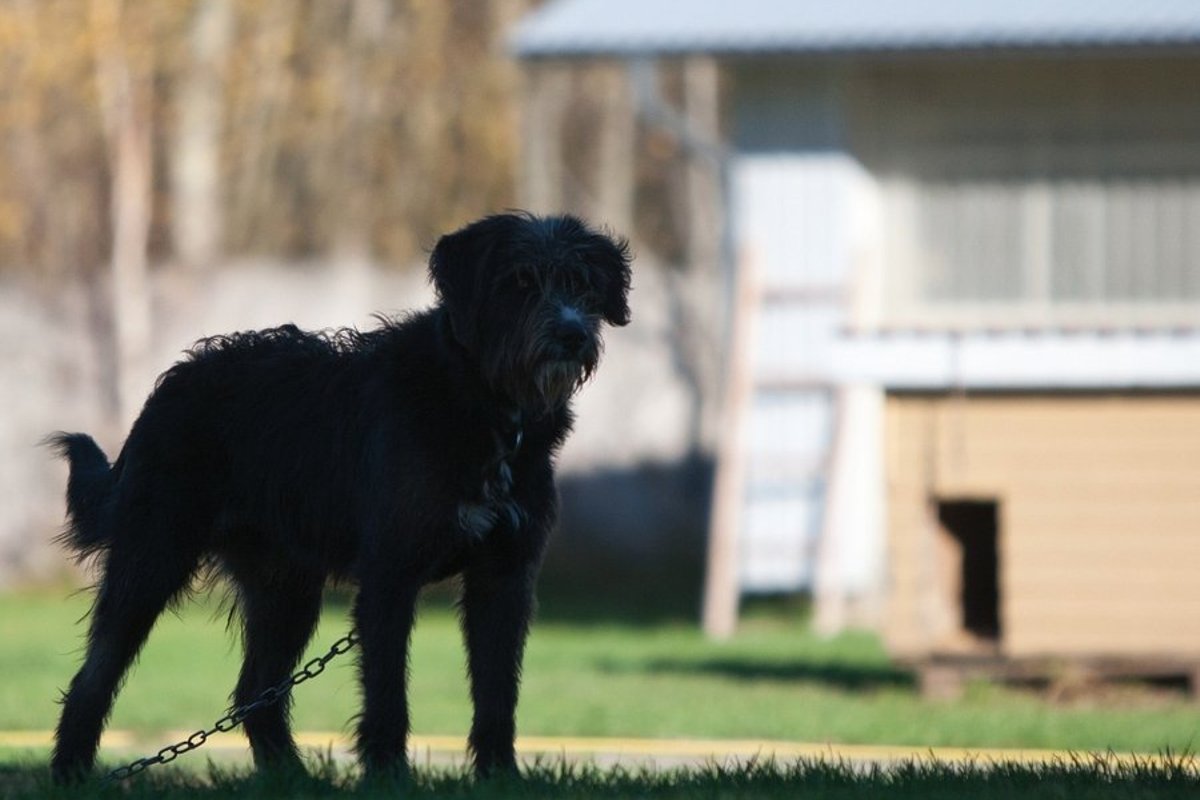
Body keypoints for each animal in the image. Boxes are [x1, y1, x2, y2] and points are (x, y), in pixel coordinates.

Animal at [46, 211, 633, 782]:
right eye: (520, 282)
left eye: (582, 284)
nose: (572, 334)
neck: (482, 404)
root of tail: (172, 383)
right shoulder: (390, 576)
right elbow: (387, 691)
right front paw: (389, 775)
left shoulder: (505, 576)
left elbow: (498, 688)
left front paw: (500, 776)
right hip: (152, 561)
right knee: (95, 676)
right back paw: (71, 771)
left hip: (286, 588)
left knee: (255, 693)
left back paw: (294, 779)